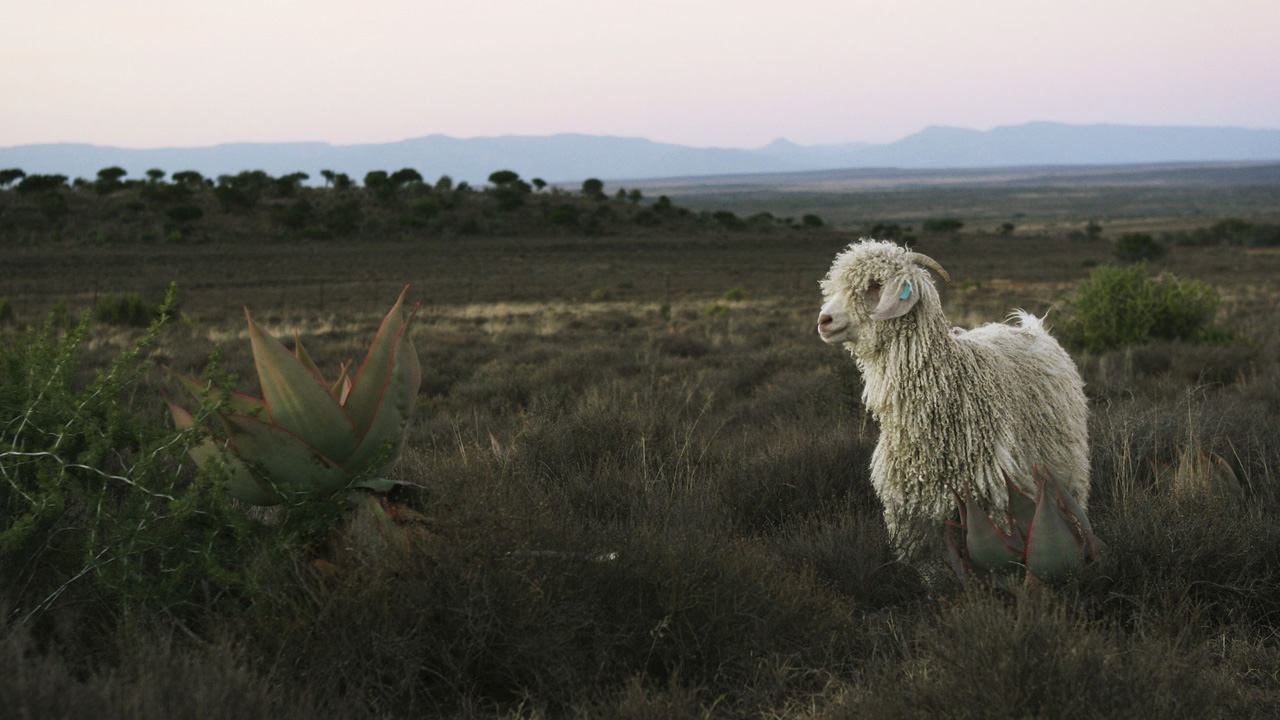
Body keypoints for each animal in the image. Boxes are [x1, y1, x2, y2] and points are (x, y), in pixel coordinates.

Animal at [819, 238, 1090, 558]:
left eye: (874, 284)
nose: (824, 320)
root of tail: (1033, 327)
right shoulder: (912, 513)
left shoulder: (997, 496)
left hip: (1067, 470)